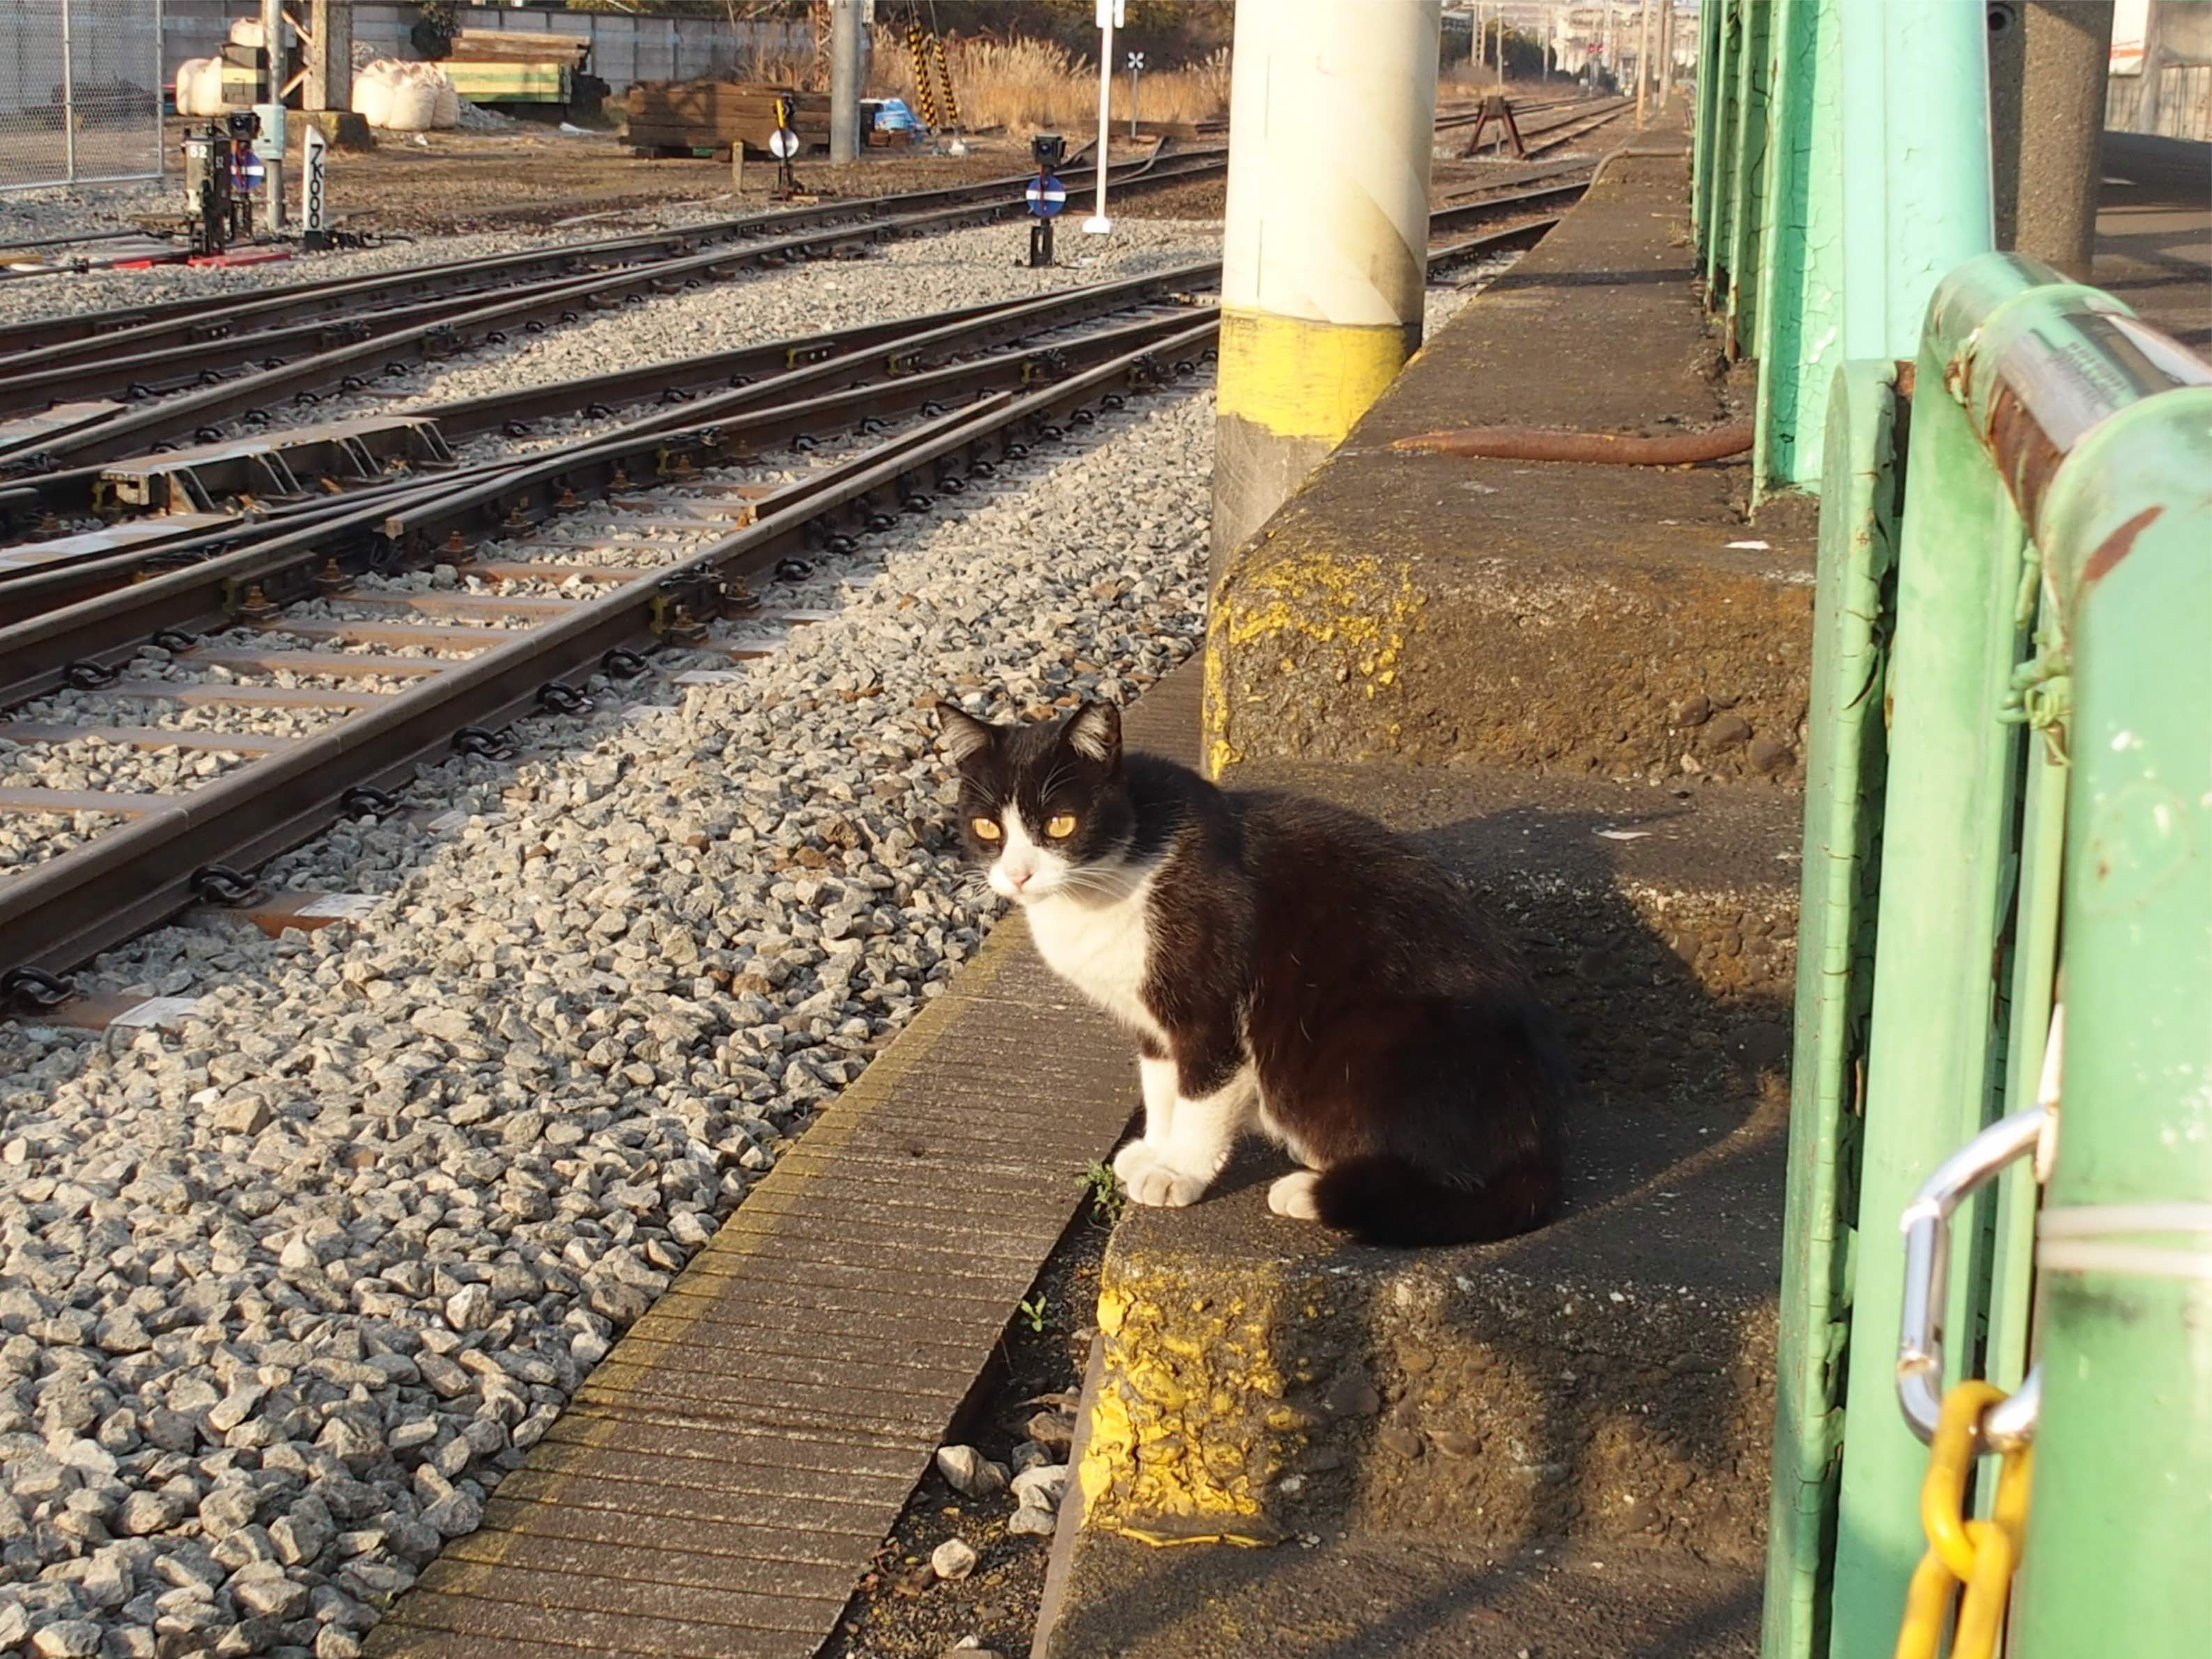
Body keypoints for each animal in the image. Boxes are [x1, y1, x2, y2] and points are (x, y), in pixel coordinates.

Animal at [937, 698, 1567, 1247]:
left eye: (1061, 824)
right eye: (988, 829)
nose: (1018, 875)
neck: (1116, 871)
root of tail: (1537, 1140)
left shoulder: (1212, 1006)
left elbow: (1200, 1093)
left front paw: (1179, 1171)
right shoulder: (1151, 1019)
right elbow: (1159, 1084)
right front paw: (1155, 1147)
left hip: (1378, 1041)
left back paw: (1309, 1189)